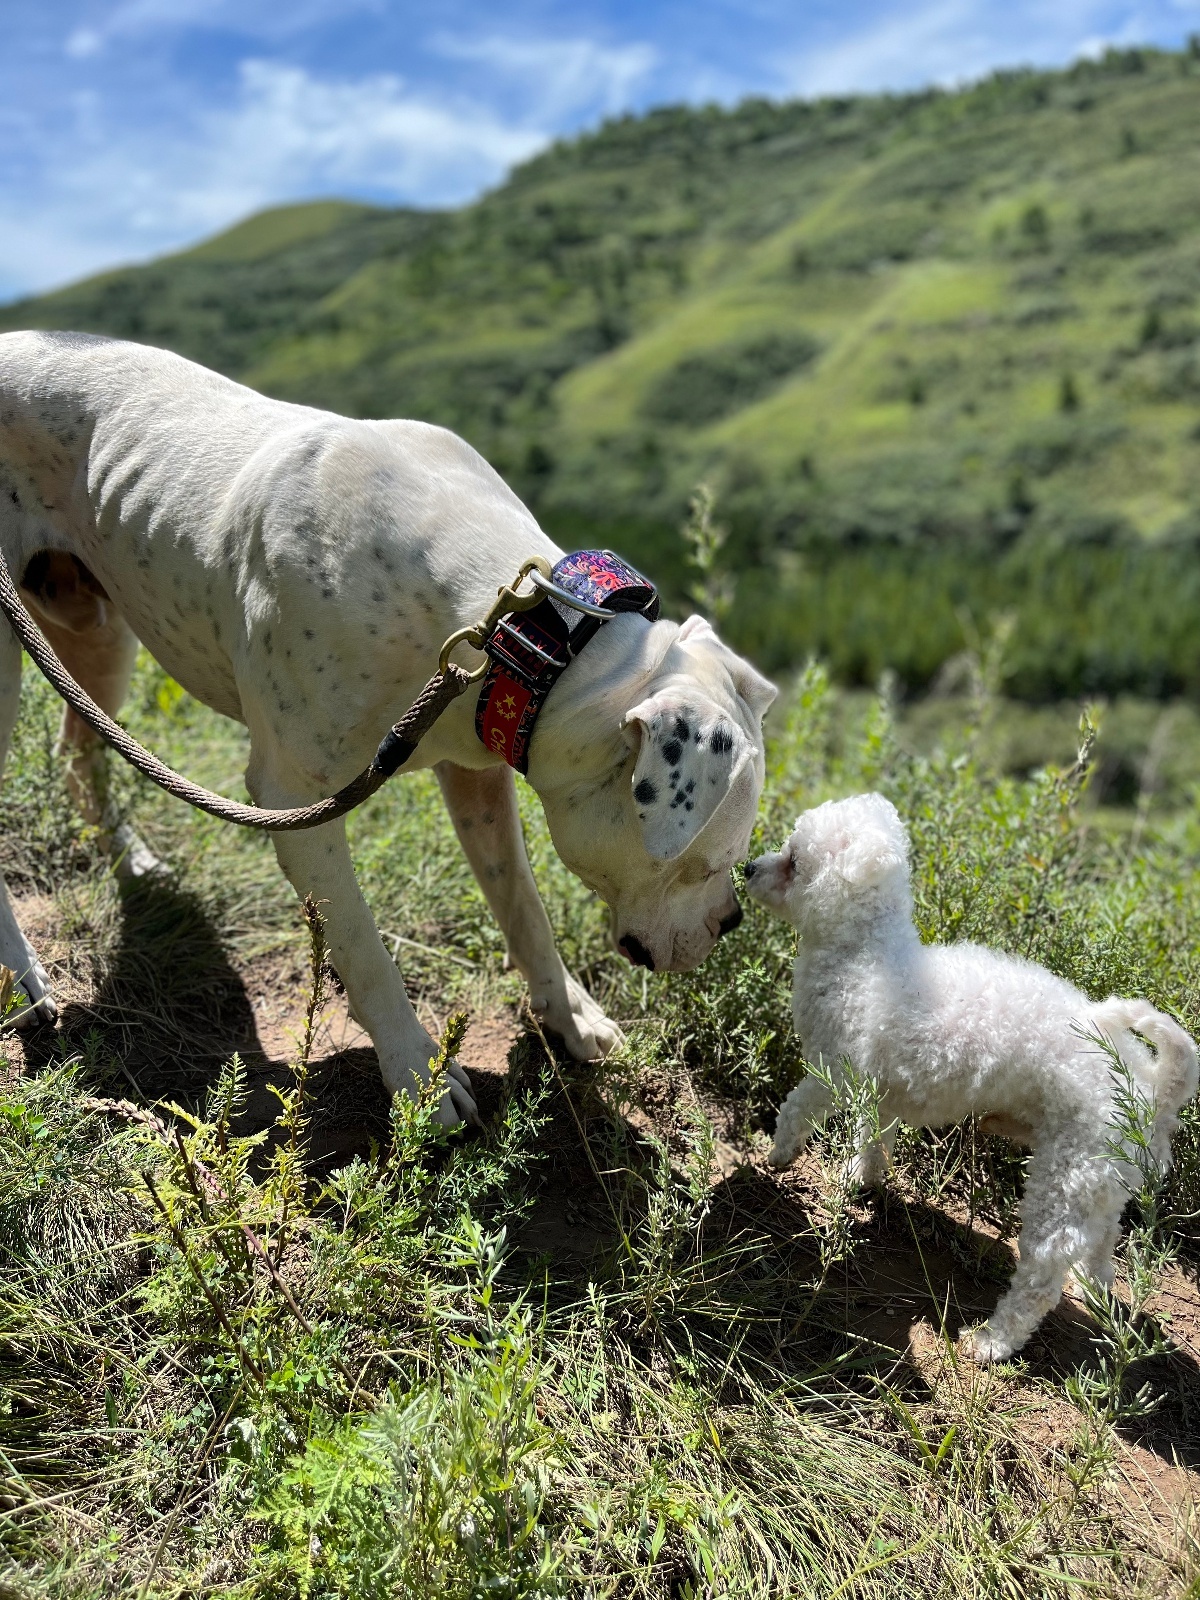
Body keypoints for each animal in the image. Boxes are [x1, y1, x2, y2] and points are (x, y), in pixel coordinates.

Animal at [2, 331, 780, 1120]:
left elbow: (521, 905)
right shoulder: (295, 801)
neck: (518, 630)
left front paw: (569, 1014)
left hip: (97, 632)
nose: (731, 922)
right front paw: (417, 1075)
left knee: (80, 746)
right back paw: (24, 977)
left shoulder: (477, 773)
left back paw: (128, 856)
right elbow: (363, 947)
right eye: (703, 864)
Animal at [748, 790, 1196, 1363]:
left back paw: (992, 1342)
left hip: (1066, 1182)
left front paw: (779, 1154)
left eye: (794, 860)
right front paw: (858, 1179)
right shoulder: (882, 1091)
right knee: (1100, 1251)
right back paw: (1094, 1295)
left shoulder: (833, 1071)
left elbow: (797, 1108)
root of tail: (1153, 1093)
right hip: (1103, 1188)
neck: (863, 955)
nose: (747, 868)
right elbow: (875, 1140)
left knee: (1041, 1278)